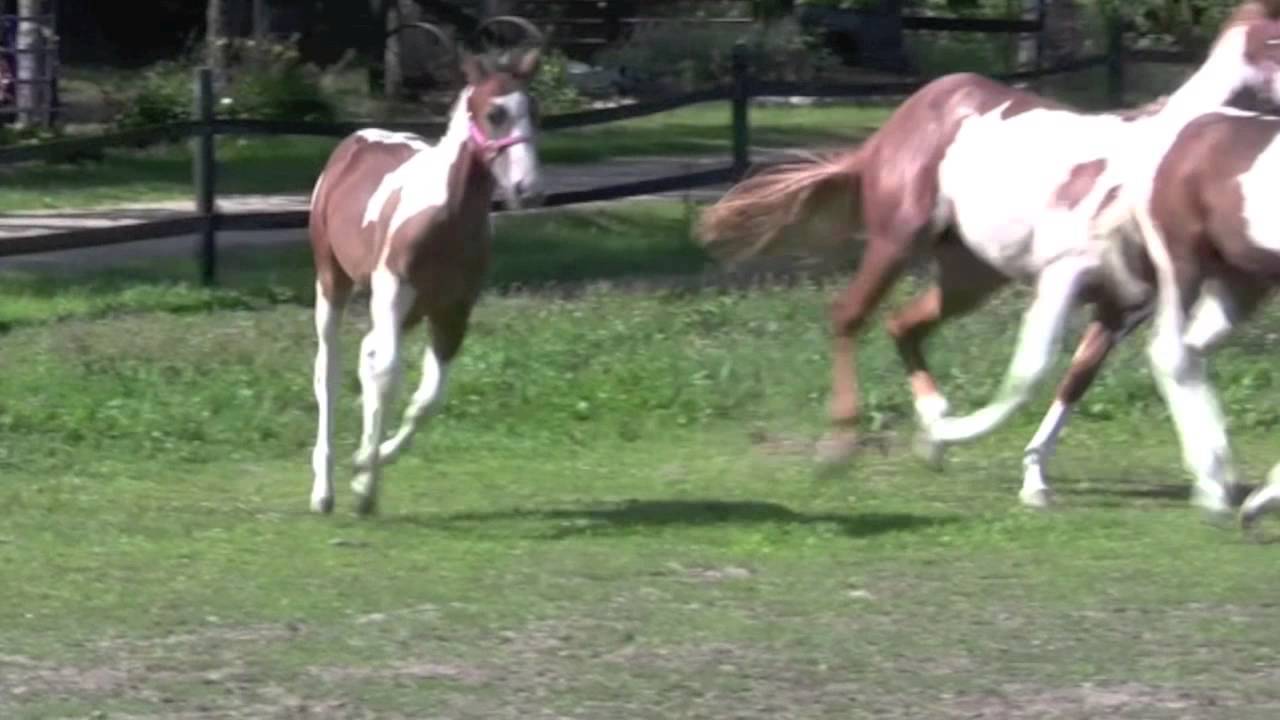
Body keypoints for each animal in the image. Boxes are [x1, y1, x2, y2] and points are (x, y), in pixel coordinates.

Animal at [306, 19, 546, 516]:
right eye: (494, 113)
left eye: (534, 109)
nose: (528, 189)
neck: (446, 218)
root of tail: (356, 140)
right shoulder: (392, 291)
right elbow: (388, 375)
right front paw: (361, 471)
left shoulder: (454, 309)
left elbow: (427, 398)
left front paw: (367, 470)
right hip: (334, 281)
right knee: (330, 368)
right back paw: (323, 490)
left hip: (408, 311)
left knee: (368, 355)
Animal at [696, 0, 1280, 510]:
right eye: (1275, 39)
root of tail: (907, 116)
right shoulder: (1063, 276)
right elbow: (1030, 371)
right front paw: (992, 453)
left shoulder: (1121, 307)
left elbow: (1076, 380)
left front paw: (1032, 478)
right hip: (897, 241)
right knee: (849, 316)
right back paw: (841, 447)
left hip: (969, 278)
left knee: (903, 325)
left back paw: (931, 433)